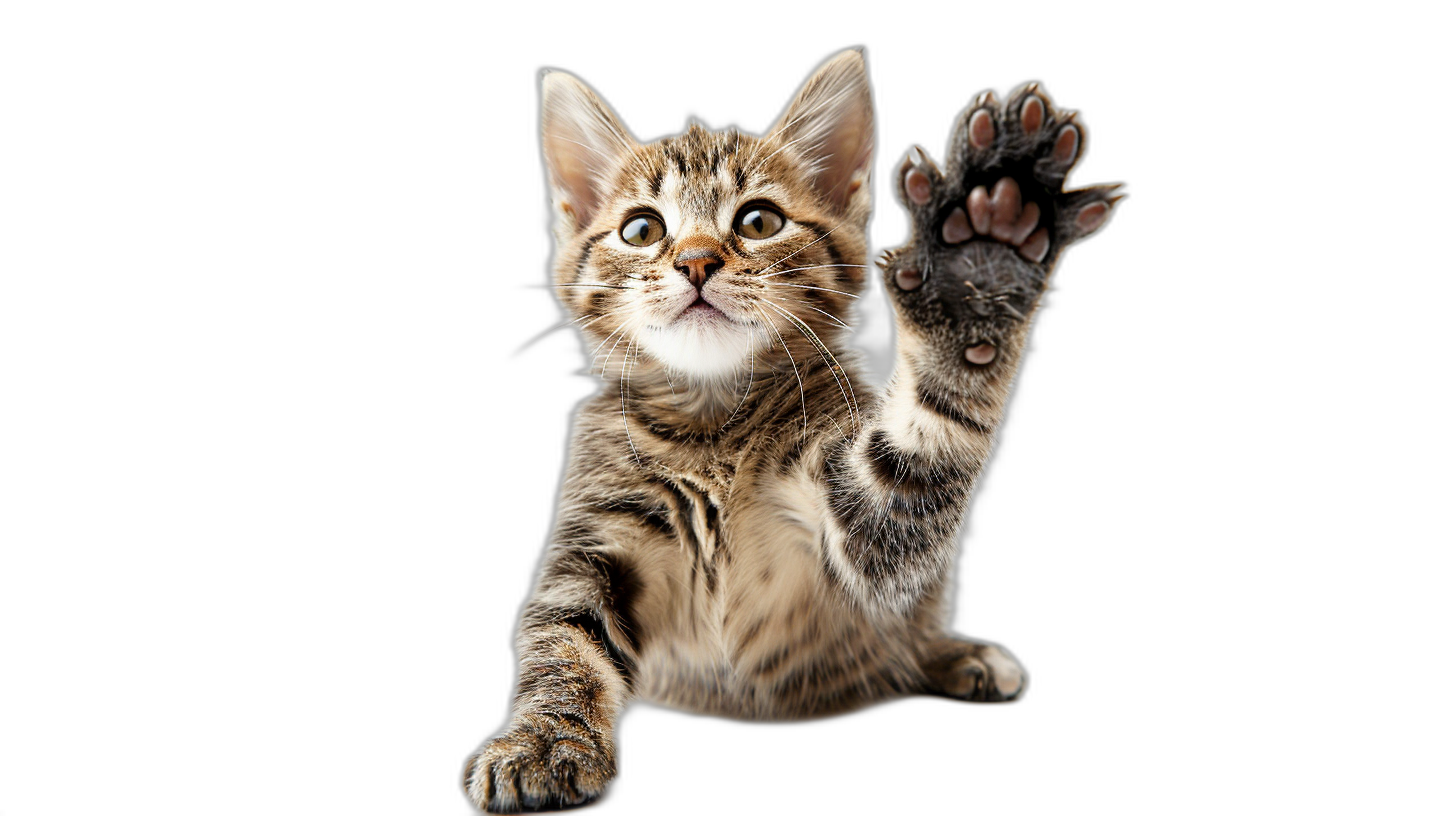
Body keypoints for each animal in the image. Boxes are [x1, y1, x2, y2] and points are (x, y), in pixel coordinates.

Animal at [460, 47, 1118, 810]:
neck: (711, 422)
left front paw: (980, 267)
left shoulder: (864, 525)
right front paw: (543, 739)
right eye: (642, 230)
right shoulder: (596, 525)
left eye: (758, 221)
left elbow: (910, 473)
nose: (695, 260)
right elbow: (561, 633)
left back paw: (949, 653)